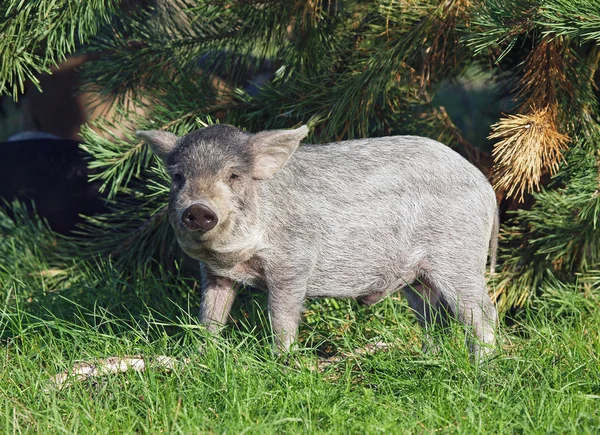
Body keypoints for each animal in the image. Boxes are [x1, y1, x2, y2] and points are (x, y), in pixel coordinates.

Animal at [138, 124, 500, 360]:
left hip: (459, 257)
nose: (199, 210)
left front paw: (281, 362)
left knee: (483, 313)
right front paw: (199, 357)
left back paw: (482, 369)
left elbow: (281, 317)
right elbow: (209, 316)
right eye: (178, 177)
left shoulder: (292, 262)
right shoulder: (212, 273)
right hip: (418, 279)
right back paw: (428, 358)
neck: (236, 256)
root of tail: (485, 186)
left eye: (233, 175)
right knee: (433, 317)